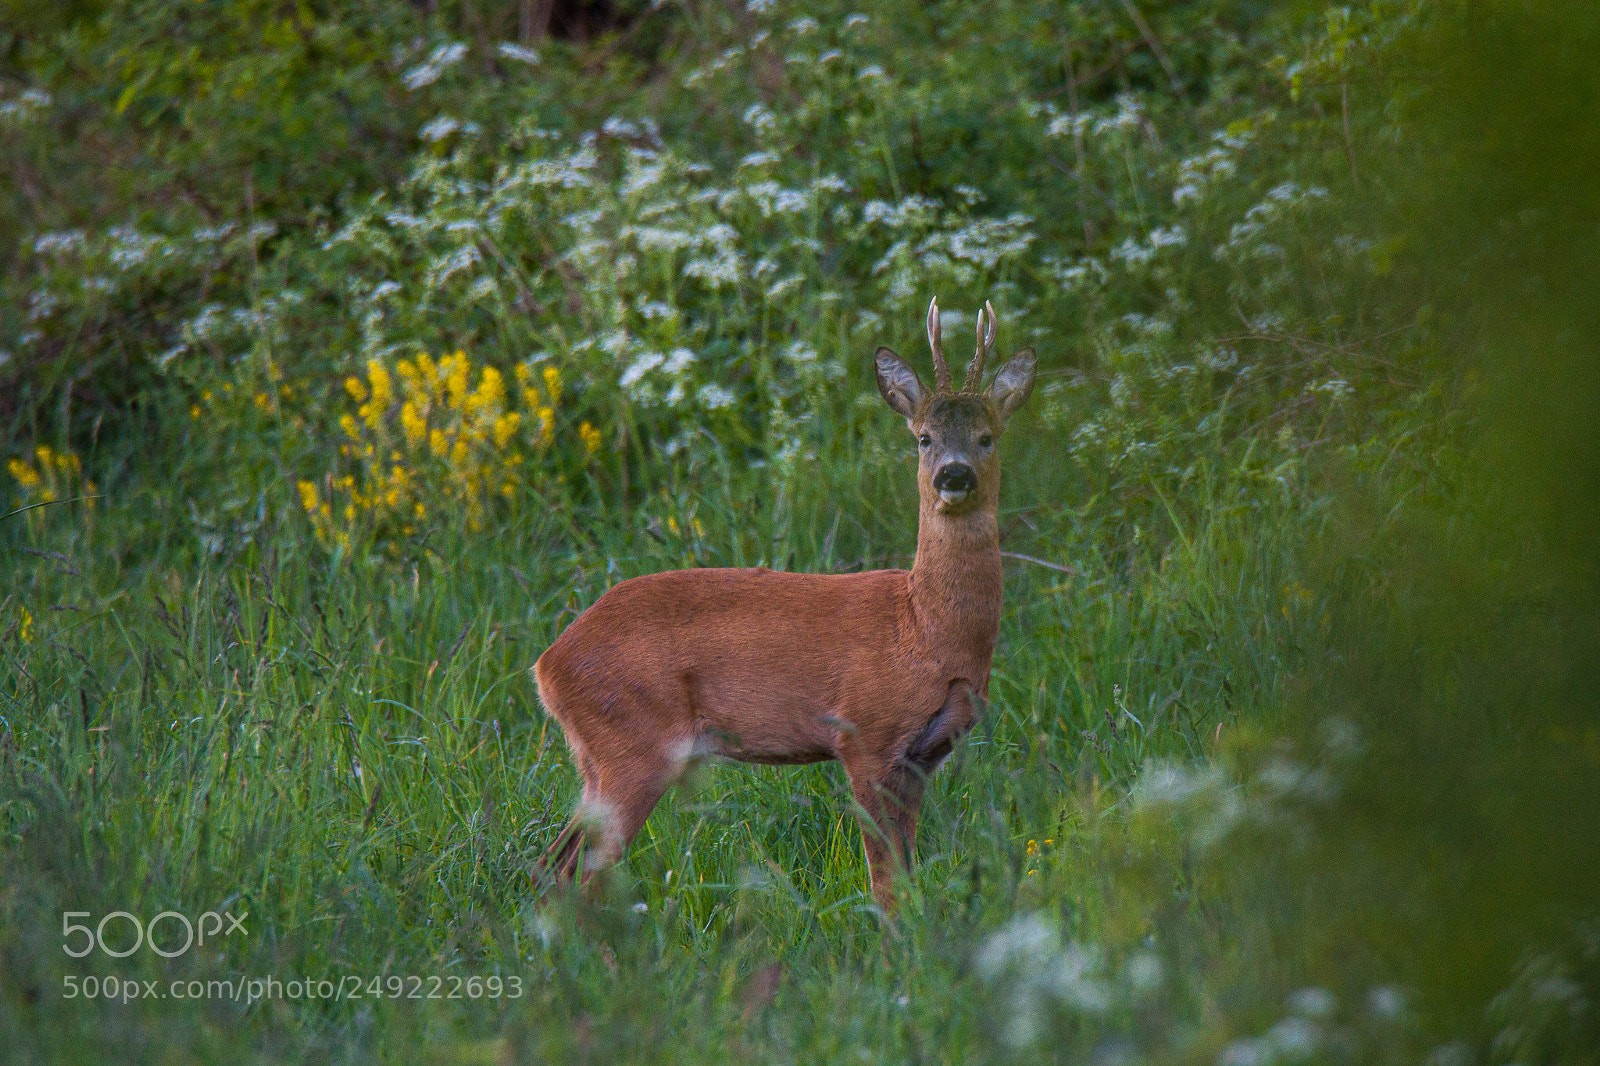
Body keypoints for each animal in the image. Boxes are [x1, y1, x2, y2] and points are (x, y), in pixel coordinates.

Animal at [533, 297, 1037, 909]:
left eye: (987, 436)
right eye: (923, 438)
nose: (955, 474)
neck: (925, 629)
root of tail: (548, 664)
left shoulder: (922, 758)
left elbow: (907, 875)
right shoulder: (863, 733)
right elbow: (885, 881)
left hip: (596, 757)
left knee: (554, 864)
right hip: (632, 740)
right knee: (581, 873)